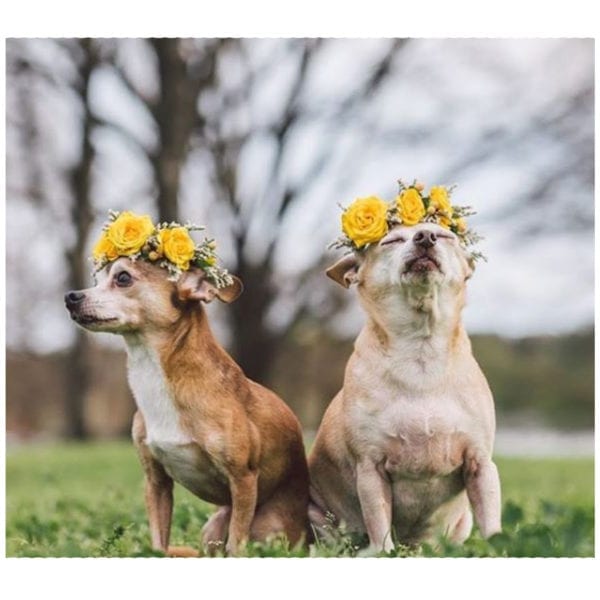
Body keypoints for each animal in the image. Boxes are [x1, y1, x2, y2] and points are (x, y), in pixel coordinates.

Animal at [65, 260, 310, 556]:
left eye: (122, 278)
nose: (70, 296)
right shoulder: (156, 483)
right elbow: (159, 542)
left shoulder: (243, 479)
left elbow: (236, 543)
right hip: (212, 528)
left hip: (268, 527)